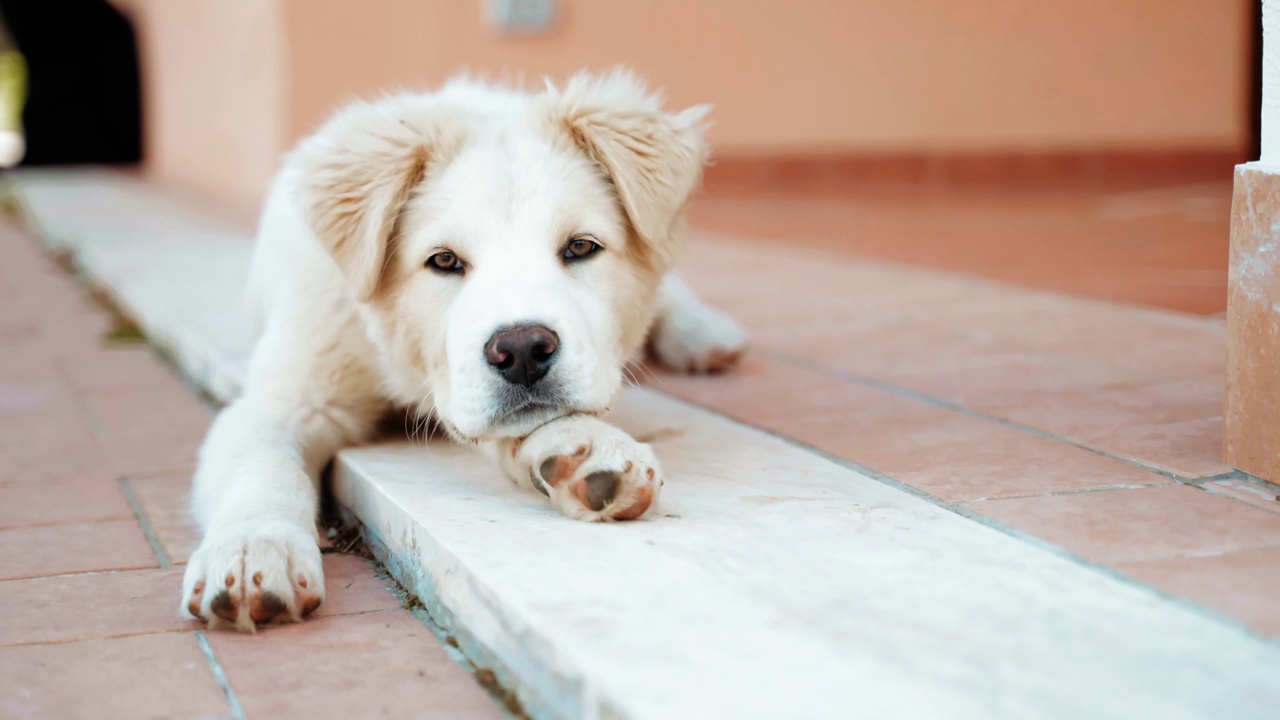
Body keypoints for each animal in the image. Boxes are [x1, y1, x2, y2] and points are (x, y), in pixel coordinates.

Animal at [184, 67, 747, 627]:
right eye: (444, 261)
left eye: (581, 247)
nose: (522, 351)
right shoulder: (288, 394)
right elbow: (263, 466)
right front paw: (254, 547)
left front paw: (583, 448)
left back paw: (705, 335)